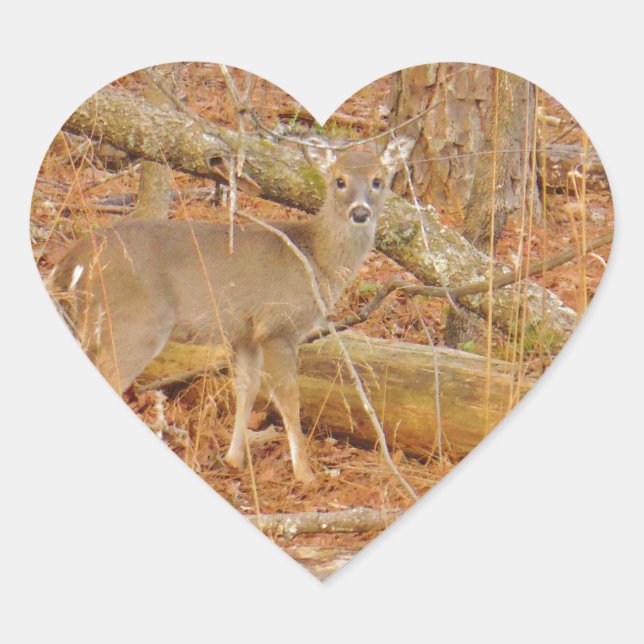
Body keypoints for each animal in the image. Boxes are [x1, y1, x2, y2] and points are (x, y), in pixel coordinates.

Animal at [49, 135, 415, 484]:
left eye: (378, 180)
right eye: (339, 180)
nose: (360, 212)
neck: (315, 261)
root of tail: (75, 258)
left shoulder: (244, 333)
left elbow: (246, 388)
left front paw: (234, 459)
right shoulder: (277, 324)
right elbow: (288, 396)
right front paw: (306, 474)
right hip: (135, 324)